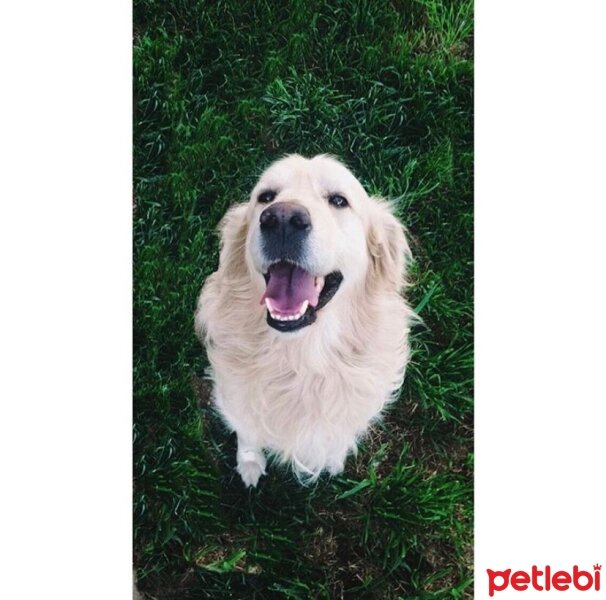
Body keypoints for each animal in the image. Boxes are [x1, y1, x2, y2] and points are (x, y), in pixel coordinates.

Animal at [197, 155, 416, 488]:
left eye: (338, 200)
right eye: (266, 197)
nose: (282, 219)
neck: (300, 358)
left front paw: (332, 459)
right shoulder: (236, 401)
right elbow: (248, 435)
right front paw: (249, 464)